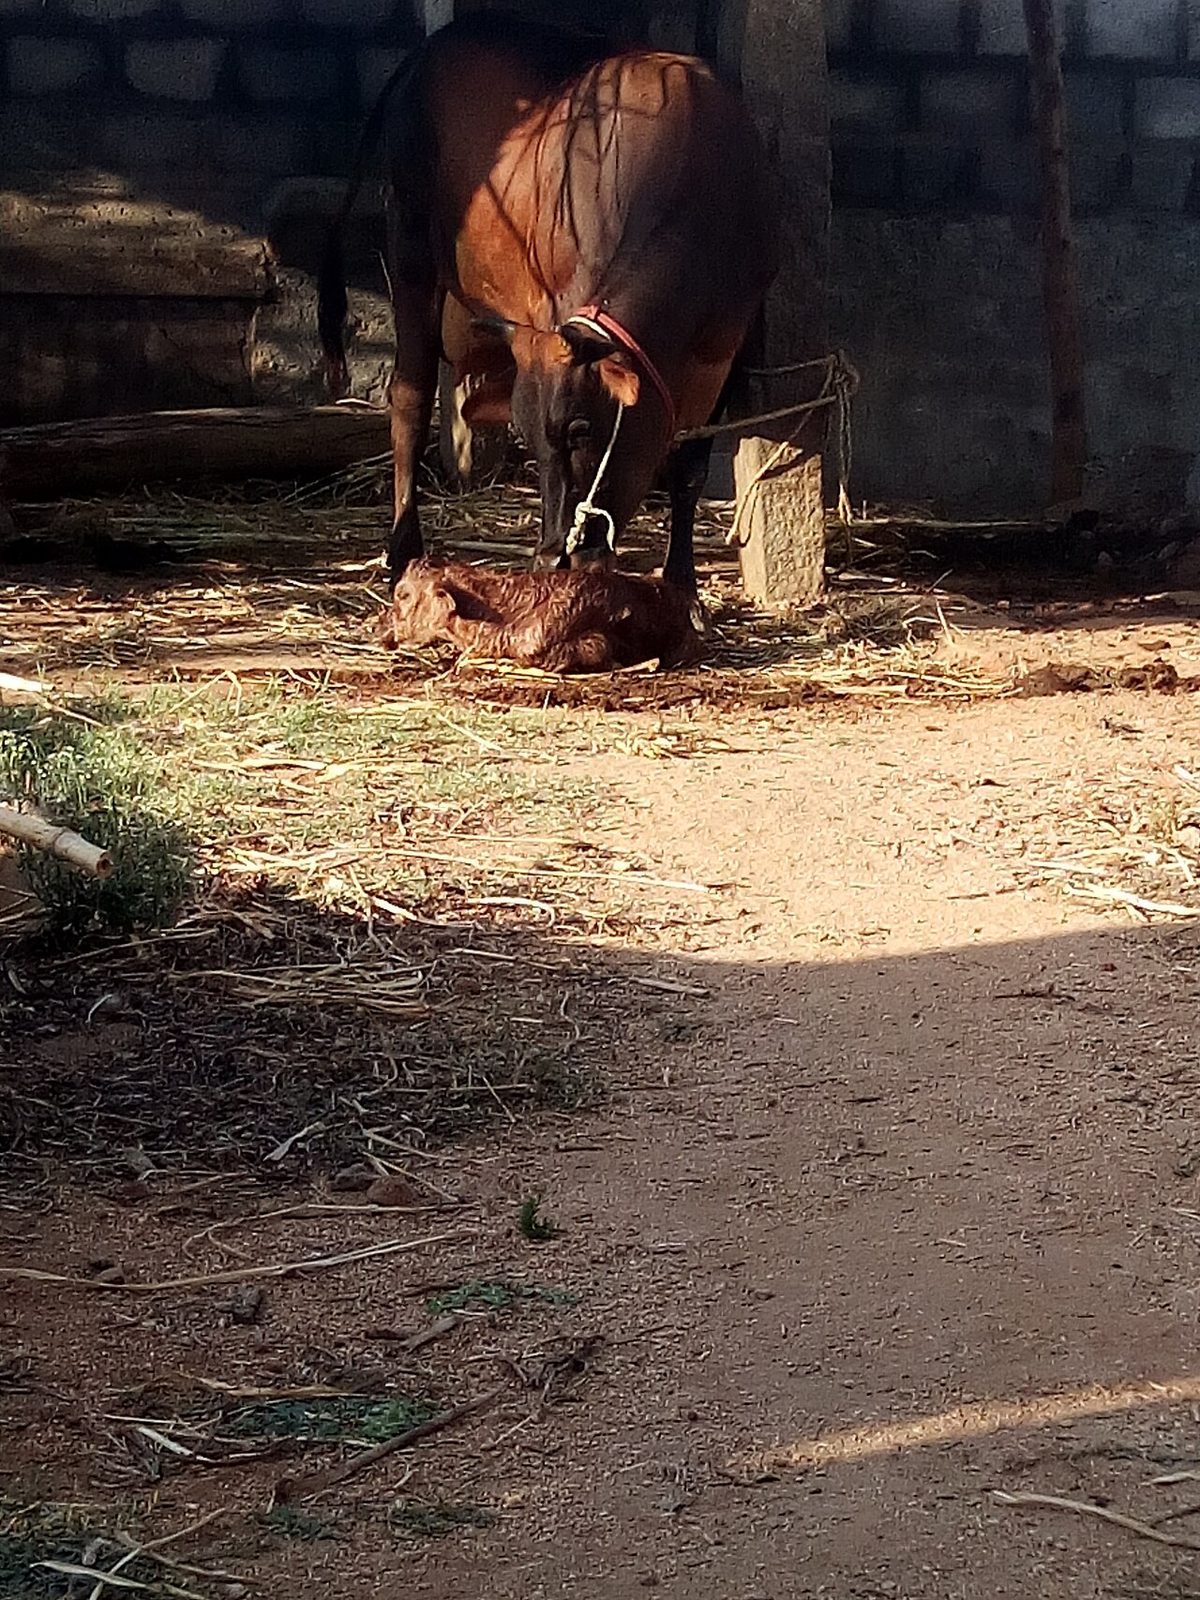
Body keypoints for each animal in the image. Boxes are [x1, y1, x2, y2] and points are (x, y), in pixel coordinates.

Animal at [318, 13, 778, 604]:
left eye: (581, 429)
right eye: (530, 435)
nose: (554, 556)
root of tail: (425, 52)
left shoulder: (730, 343)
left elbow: (689, 467)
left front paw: (683, 586)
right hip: (410, 250)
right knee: (410, 398)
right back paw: (404, 551)